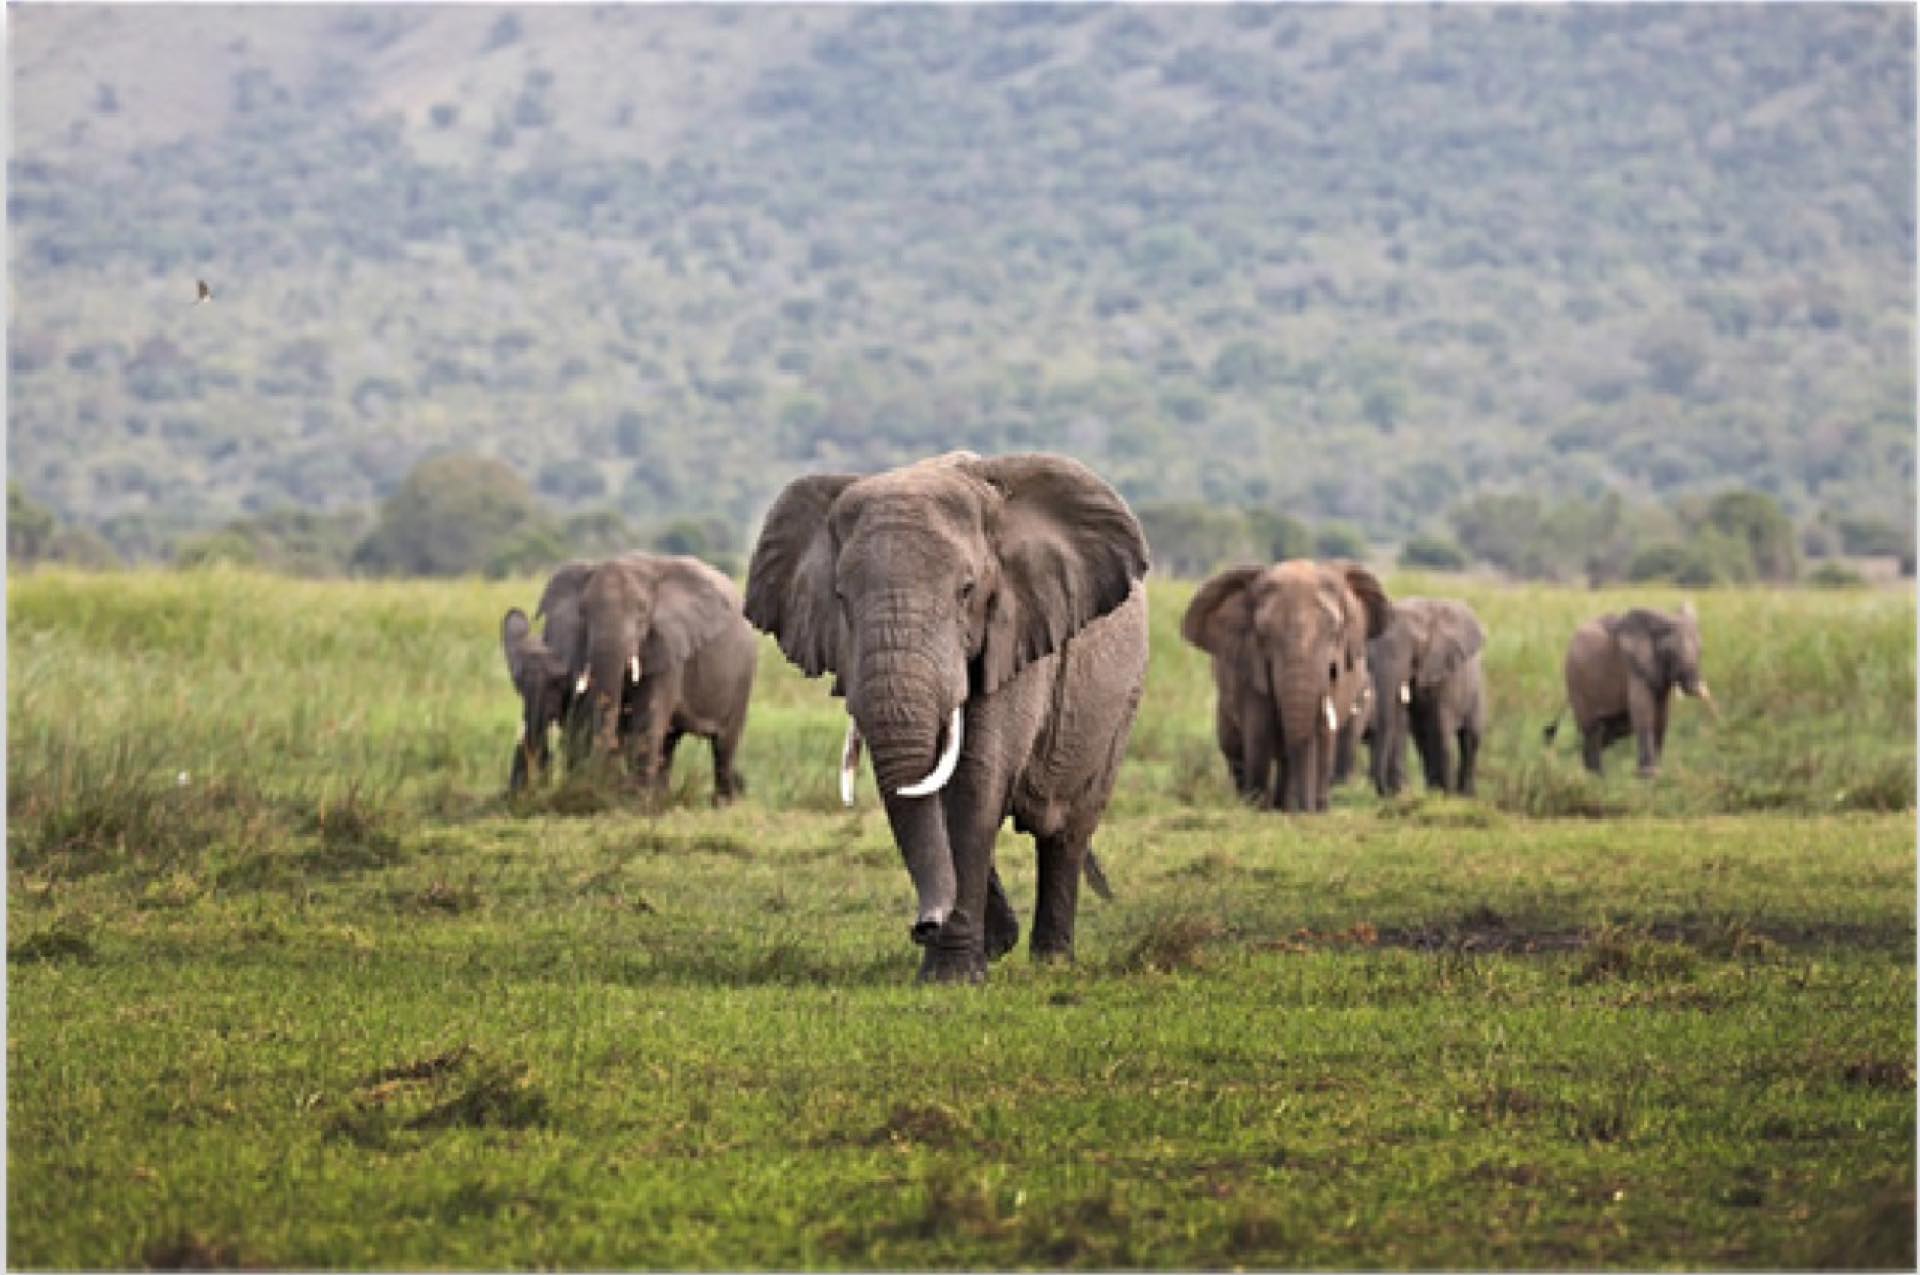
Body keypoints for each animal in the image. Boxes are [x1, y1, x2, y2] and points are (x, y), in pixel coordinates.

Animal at [574, 554, 758, 802]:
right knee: (670, 740)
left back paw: (724, 803)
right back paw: (662, 798)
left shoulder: (670, 646)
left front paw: (635, 801)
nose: (594, 787)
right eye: (583, 611)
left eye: (642, 610)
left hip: (743, 675)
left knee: (723, 746)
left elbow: (647, 720)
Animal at [745, 451, 1150, 982]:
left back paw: (1052, 962)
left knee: (1067, 830)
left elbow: (975, 781)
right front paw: (974, 956)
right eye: (841, 598)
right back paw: (1002, 943)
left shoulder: (1015, 632)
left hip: (1121, 699)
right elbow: (928, 787)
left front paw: (953, 978)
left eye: (966, 591)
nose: (923, 926)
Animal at [1181, 559, 1391, 813]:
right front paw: (1259, 808)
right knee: (1233, 748)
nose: (1310, 807)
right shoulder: (1250, 667)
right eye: (1263, 633)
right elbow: (1258, 732)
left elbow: (1323, 733)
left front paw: (1301, 809)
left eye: (1334, 630)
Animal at [1365, 597, 1487, 797]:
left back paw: (1464, 795)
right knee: (1422, 740)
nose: (1386, 792)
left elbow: (1440, 727)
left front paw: (1447, 796)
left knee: (1470, 738)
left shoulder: (1443, 671)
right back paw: (1434, 791)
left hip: (1477, 691)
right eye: (1368, 656)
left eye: (1417, 646)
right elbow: (1400, 723)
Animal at [1543, 603, 1715, 777]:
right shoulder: (1634, 666)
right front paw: (1648, 774)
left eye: (1701, 651)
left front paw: (1657, 772)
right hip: (1576, 681)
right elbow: (1643, 711)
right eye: (1670, 653)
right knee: (1592, 730)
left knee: (1612, 728)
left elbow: (1661, 715)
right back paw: (1596, 776)